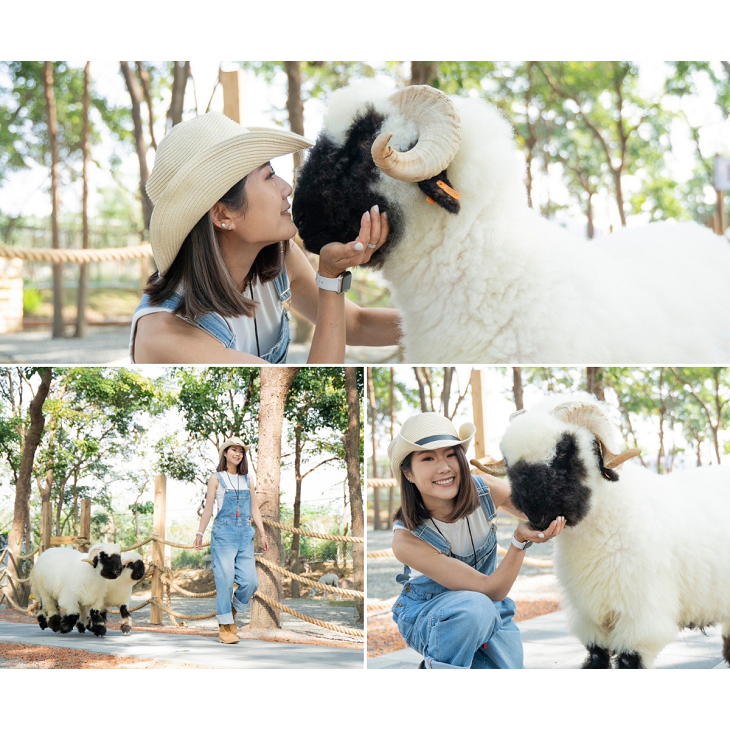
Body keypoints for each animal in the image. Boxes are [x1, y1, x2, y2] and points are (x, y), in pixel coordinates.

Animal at [472, 396, 728, 668]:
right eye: (509, 462)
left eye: (564, 450)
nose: (537, 516)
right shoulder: (590, 619)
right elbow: (596, 658)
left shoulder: (640, 619)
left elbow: (628, 661)